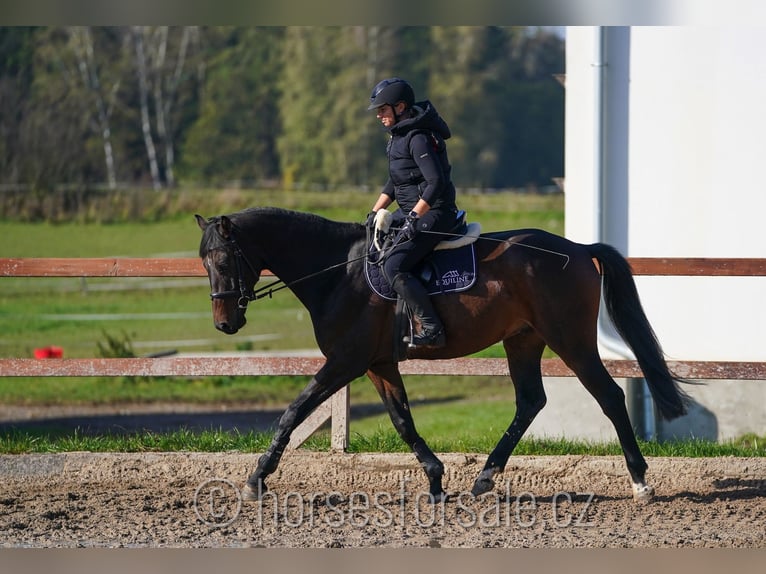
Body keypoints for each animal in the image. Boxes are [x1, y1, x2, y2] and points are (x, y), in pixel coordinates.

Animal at [196, 208, 688, 504]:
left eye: (222, 261)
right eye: (204, 262)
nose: (224, 324)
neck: (339, 273)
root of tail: (581, 251)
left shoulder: (345, 361)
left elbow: (294, 411)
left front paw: (256, 479)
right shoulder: (378, 364)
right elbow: (402, 419)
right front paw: (434, 478)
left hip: (571, 341)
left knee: (608, 396)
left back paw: (640, 481)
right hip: (524, 340)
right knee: (531, 401)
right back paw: (484, 478)